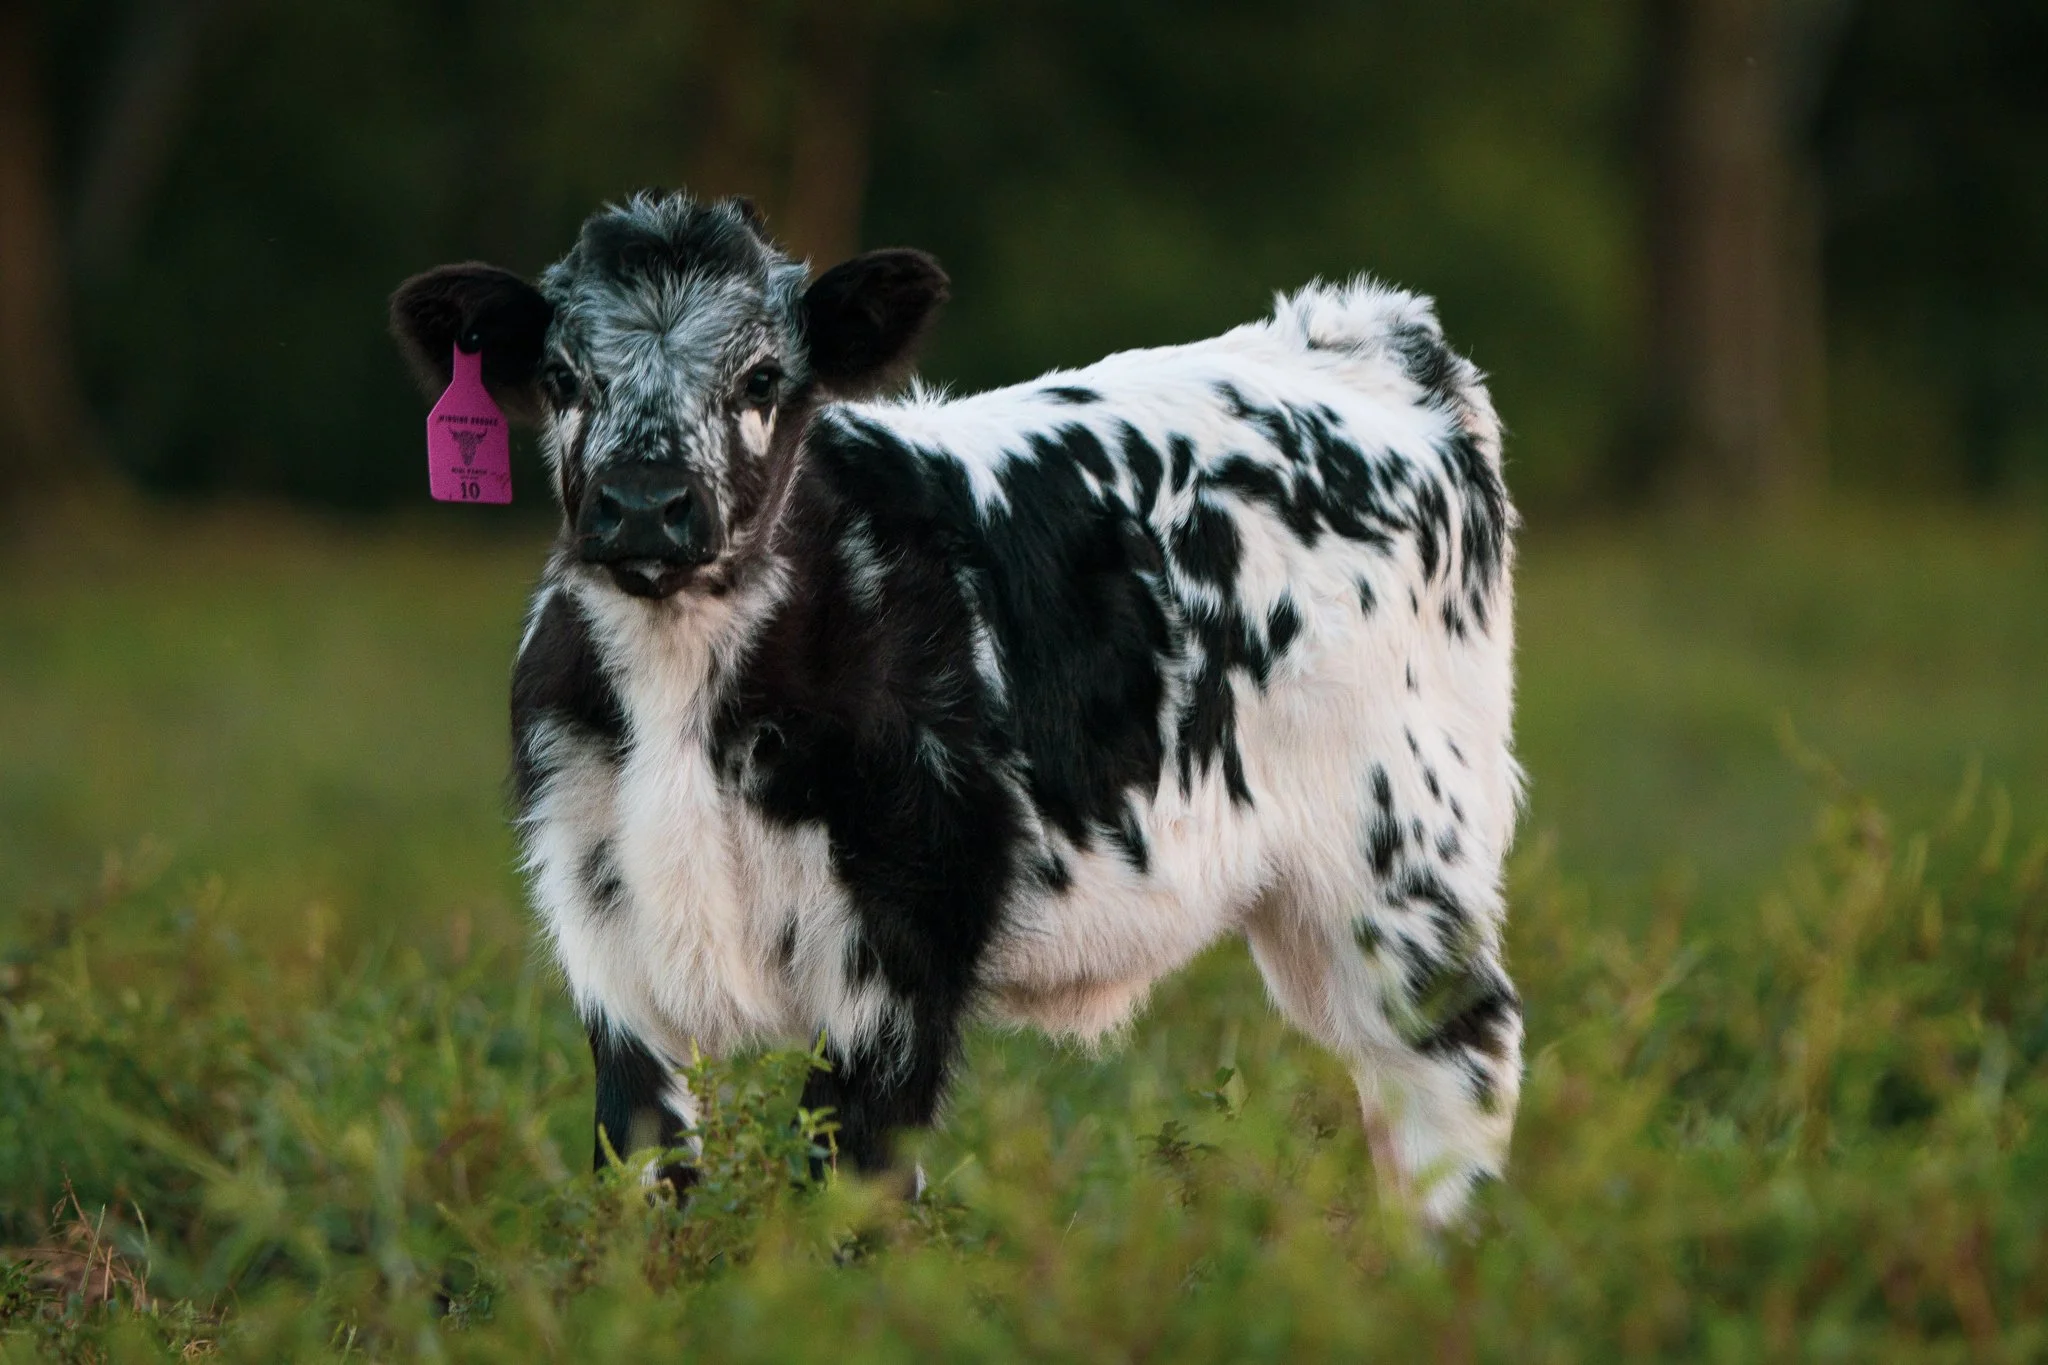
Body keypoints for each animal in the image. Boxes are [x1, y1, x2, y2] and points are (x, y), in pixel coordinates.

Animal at [390, 191, 1523, 1227]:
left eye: (761, 378)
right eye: (563, 377)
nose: (642, 505)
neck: (683, 698)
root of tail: (1362, 335)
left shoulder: (908, 933)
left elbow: (850, 1182)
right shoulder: (605, 926)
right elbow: (642, 1182)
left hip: (1402, 850)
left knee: (1456, 1055)